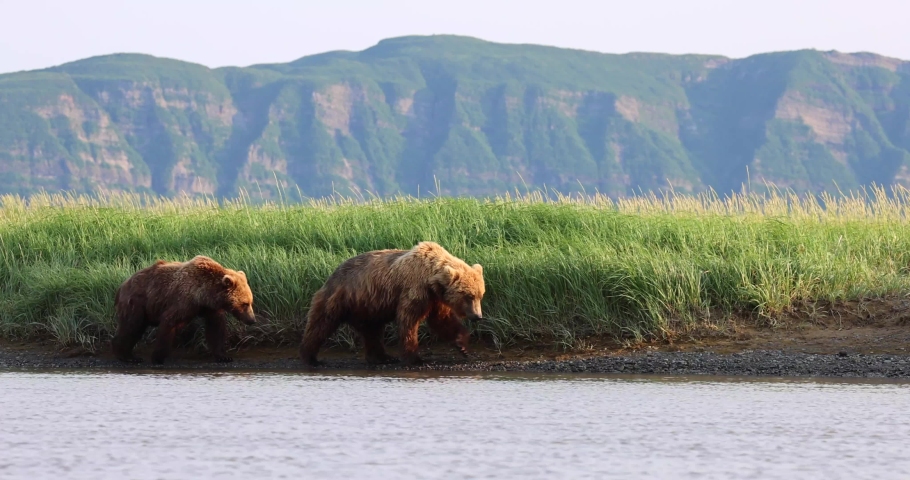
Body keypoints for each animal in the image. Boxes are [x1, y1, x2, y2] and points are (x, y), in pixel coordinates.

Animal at [111, 255, 257, 365]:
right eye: (245, 304)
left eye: (250, 302)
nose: (252, 320)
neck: (203, 294)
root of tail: (122, 286)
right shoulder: (183, 300)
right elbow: (169, 322)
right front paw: (158, 357)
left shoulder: (210, 308)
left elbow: (216, 329)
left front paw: (224, 356)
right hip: (137, 303)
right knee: (132, 326)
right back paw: (126, 355)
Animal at [299, 241, 485, 367]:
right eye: (468, 296)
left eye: (480, 295)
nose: (478, 316)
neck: (431, 279)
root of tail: (332, 274)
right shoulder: (415, 289)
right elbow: (408, 321)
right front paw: (415, 358)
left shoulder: (435, 299)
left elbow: (442, 321)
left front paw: (462, 345)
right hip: (341, 298)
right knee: (321, 324)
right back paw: (309, 357)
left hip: (367, 307)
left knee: (372, 332)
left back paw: (382, 357)